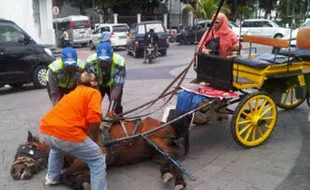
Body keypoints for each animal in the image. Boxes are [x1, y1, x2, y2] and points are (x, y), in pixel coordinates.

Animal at [10, 117, 188, 190]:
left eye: (24, 149)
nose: (13, 171)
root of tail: (165, 123)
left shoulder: (94, 158)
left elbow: (64, 175)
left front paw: (82, 183)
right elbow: (70, 175)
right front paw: (82, 180)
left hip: (153, 139)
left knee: (173, 155)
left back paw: (176, 180)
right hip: (154, 152)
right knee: (170, 160)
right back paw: (168, 175)